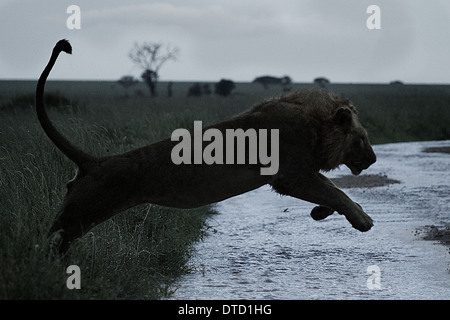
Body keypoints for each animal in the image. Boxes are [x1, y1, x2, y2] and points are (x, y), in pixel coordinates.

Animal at [37, 40, 376, 254]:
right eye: (361, 138)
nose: (373, 159)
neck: (316, 124)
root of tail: (94, 163)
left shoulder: (300, 175)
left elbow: (331, 190)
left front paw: (321, 212)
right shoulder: (291, 175)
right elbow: (336, 191)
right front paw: (362, 220)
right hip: (85, 210)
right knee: (54, 234)